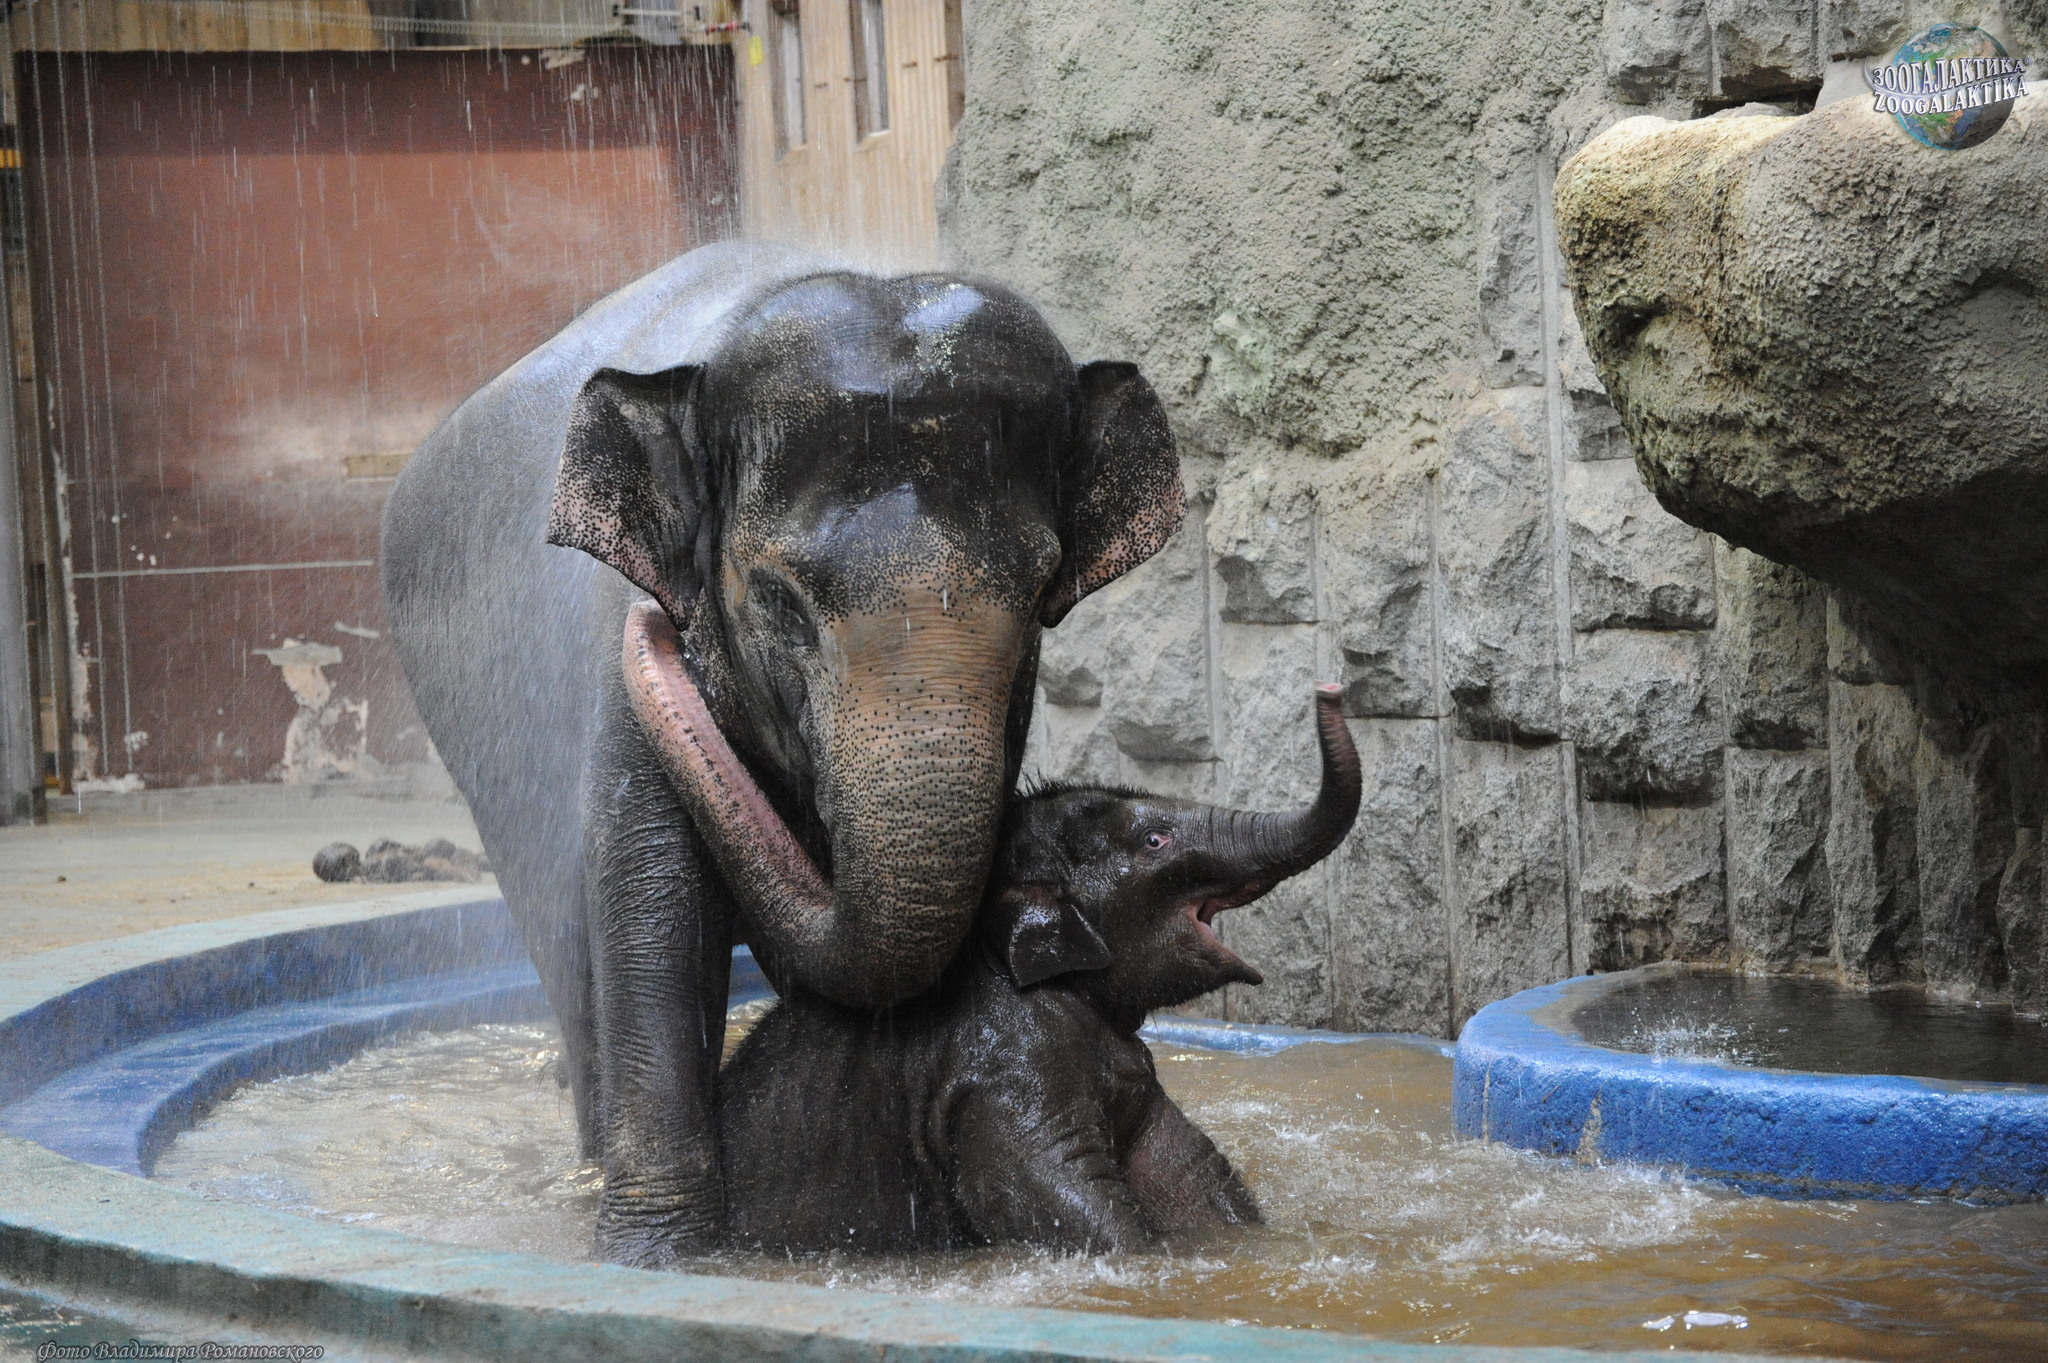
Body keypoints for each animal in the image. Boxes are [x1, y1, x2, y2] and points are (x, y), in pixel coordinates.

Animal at [382, 244, 1187, 1260]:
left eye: (1045, 589)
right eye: (776, 599)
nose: (654, 628)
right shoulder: (625, 696)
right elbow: (655, 923)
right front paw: (657, 1255)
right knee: (572, 963)